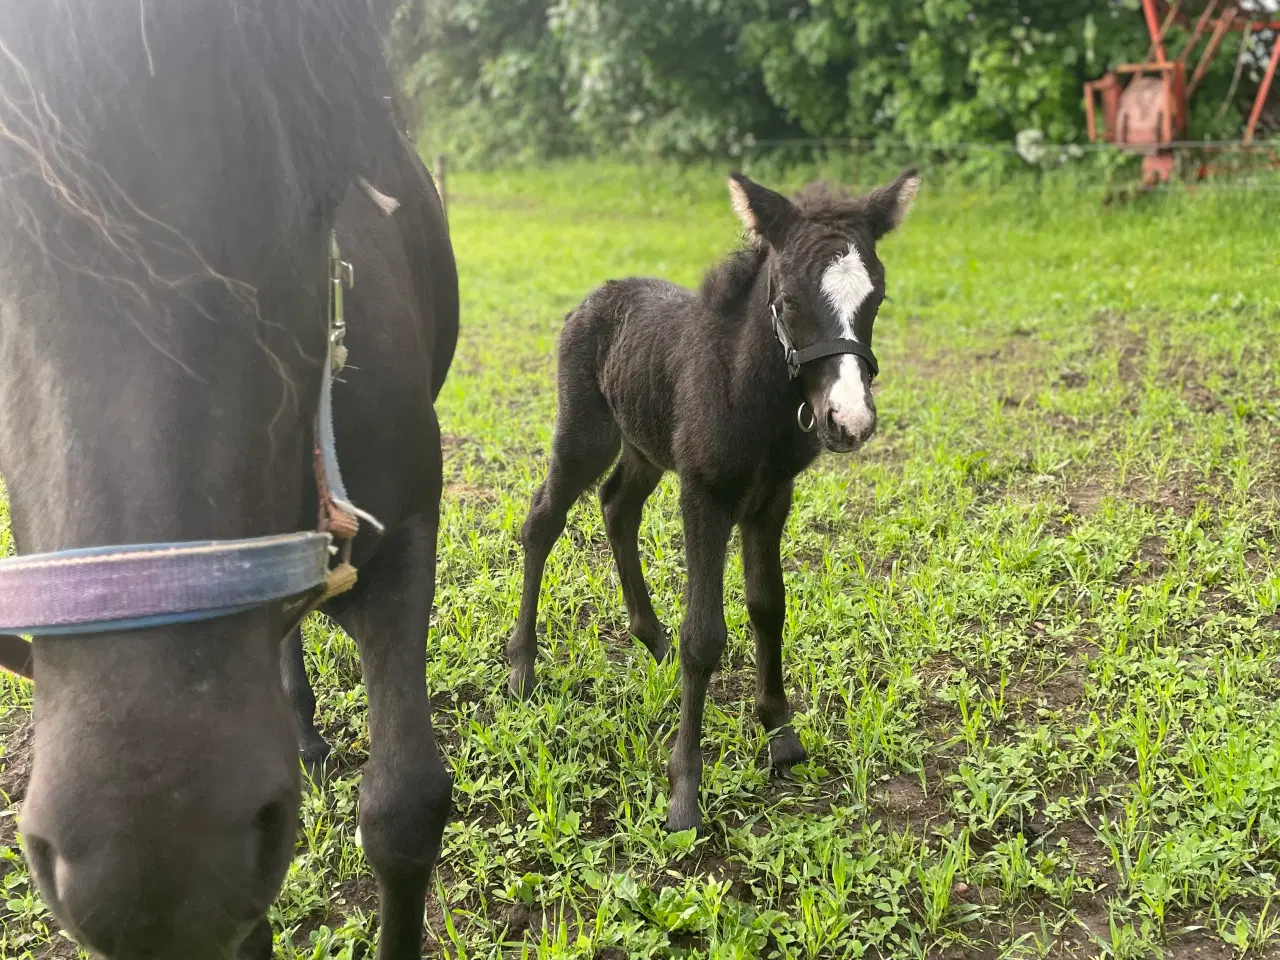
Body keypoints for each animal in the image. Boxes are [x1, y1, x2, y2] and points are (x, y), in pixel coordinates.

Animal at [504, 168, 916, 829]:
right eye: (790, 301)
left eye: (876, 299)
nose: (848, 421)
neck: (748, 388)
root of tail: (596, 295)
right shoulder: (705, 494)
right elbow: (705, 636)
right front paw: (684, 790)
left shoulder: (772, 498)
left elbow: (768, 606)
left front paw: (780, 732)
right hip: (586, 434)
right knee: (543, 520)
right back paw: (522, 666)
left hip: (644, 445)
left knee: (618, 506)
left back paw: (650, 636)